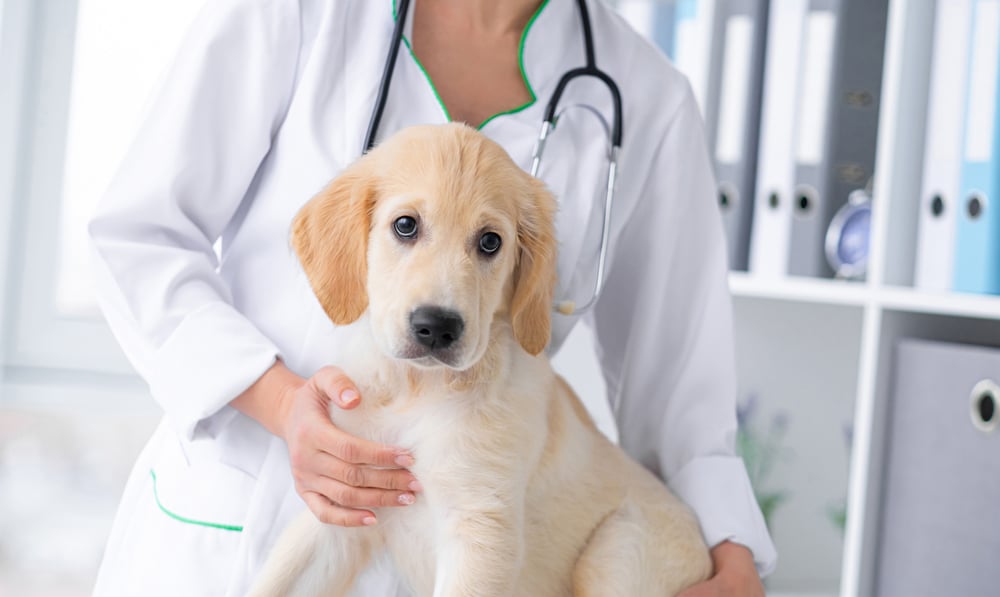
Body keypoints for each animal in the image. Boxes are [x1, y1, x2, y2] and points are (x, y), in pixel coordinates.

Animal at [248, 123, 712, 592]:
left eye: (491, 241)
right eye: (405, 225)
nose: (437, 327)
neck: (417, 390)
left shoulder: (481, 526)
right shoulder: (345, 497)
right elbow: (276, 582)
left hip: (618, 548)